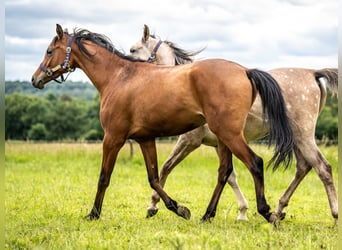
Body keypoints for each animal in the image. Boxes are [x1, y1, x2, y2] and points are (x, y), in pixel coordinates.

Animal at [129, 24, 340, 224]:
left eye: (133, 50)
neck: (186, 85)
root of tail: (313, 73)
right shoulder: (220, 143)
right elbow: (230, 176)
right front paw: (242, 211)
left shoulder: (190, 141)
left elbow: (166, 167)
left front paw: (153, 206)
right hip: (296, 139)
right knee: (303, 167)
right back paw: (279, 209)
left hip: (303, 137)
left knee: (323, 168)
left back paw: (334, 216)